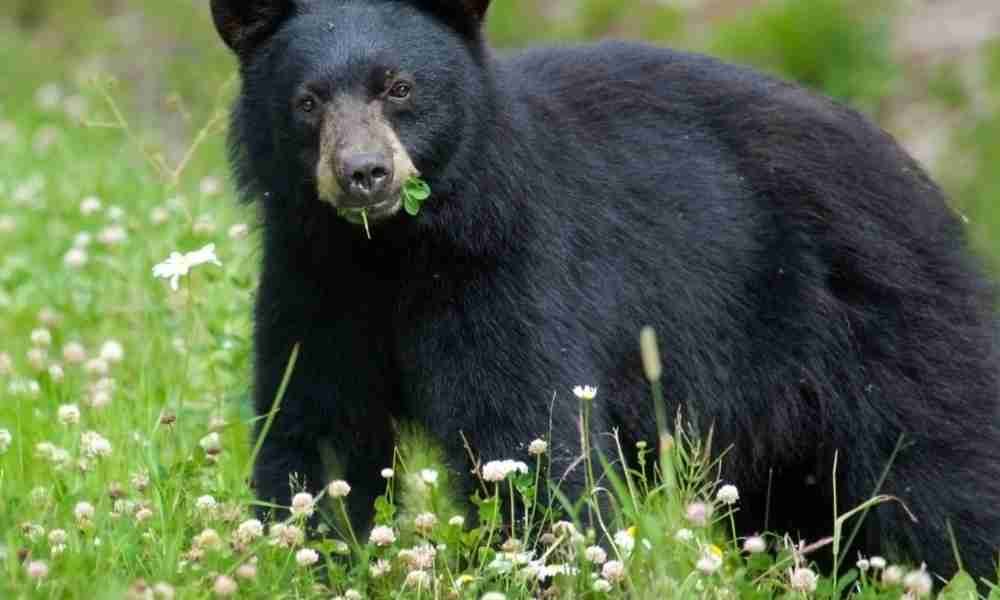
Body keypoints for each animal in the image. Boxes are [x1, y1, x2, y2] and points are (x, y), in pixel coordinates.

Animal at [211, 0, 1000, 580]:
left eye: (399, 88)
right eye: (308, 102)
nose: (364, 173)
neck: (393, 253)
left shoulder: (512, 270)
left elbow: (531, 438)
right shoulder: (313, 282)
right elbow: (314, 430)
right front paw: (300, 559)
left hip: (885, 328)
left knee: (945, 475)